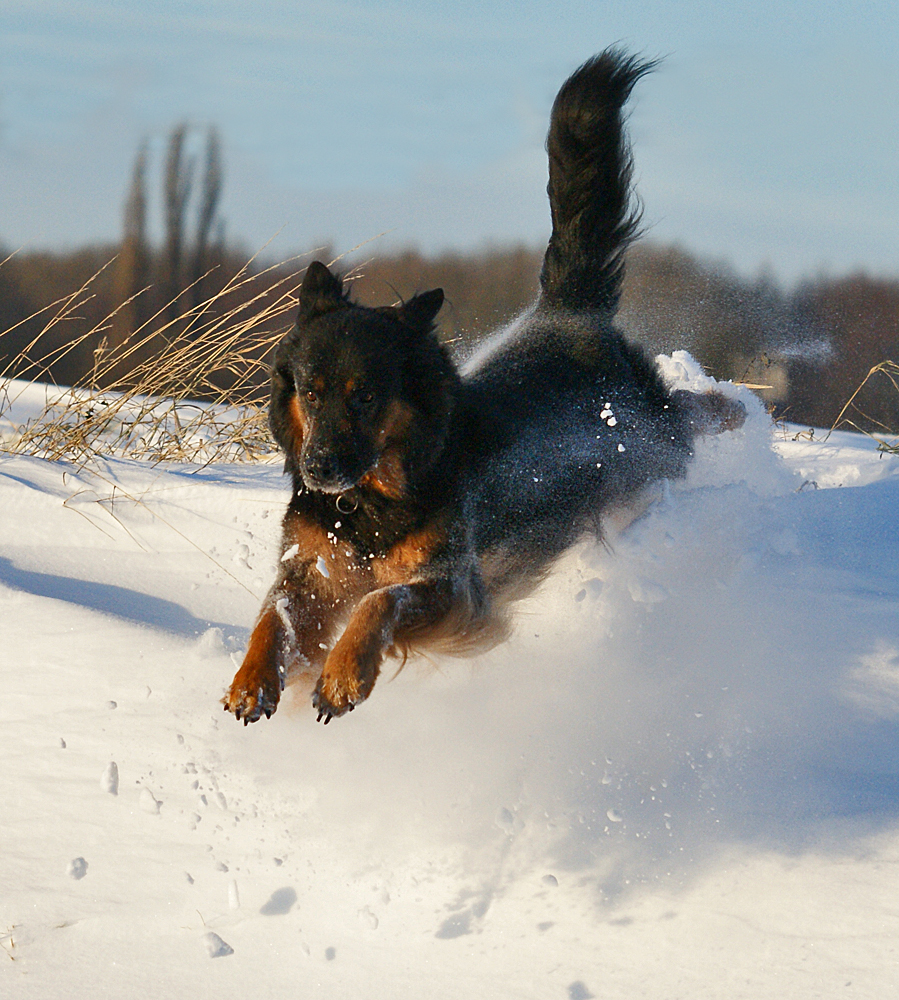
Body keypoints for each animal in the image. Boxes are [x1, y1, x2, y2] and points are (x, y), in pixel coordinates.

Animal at [223, 47, 744, 728]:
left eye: (365, 396)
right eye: (310, 391)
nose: (319, 469)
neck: (370, 500)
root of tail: (567, 312)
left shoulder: (459, 591)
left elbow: (380, 602)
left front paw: (344, 674)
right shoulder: (312, 573)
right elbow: (274, 617)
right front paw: (252, 680)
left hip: (647, 452)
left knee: (684, 411)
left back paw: (739, 407)